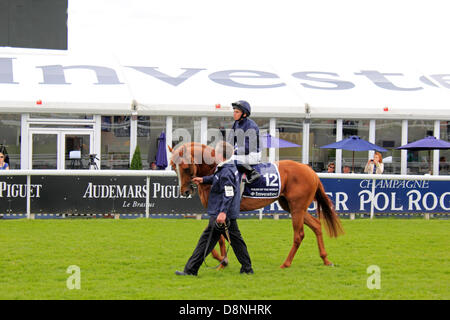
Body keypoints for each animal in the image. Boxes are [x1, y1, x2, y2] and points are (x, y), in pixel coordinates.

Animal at [169, 142, 344, 268]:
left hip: (297, 207)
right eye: (173, 167)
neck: (216, 170)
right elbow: (219, 237)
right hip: (291, 207)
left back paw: (286, 263)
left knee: (299, 235)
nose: (184, 191)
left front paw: (222, 260)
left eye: (186, 167)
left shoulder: (221, 208)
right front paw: (222, 260)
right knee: (316, 225)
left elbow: (220, 236)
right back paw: (325, 259)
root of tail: (311, 171)